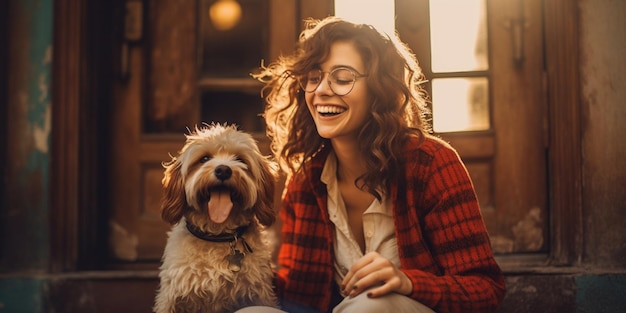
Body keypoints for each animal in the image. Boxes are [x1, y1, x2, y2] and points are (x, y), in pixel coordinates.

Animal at [152, 123, 276, 312]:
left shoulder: (259, 294)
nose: (223, 170)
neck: (218, 235)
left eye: (240, 160)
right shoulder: (171, 298)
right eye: (204, 158)